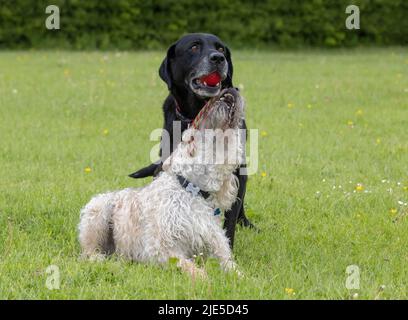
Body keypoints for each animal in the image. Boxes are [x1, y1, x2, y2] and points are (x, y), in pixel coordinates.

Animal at [79, 88, 245, 278]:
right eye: (199, 116)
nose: (231, 89)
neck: (194, 189)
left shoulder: (217, 248)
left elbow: (234, 269)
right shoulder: (161, 250)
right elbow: (194, 270)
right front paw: (207, 280)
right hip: (97, 212)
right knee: (88, 253)